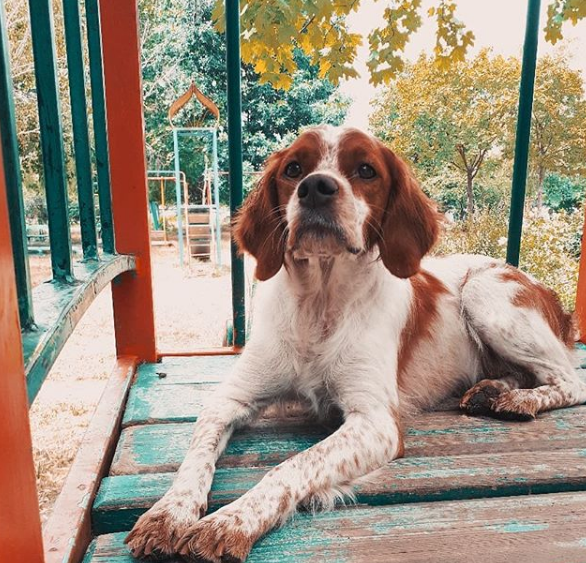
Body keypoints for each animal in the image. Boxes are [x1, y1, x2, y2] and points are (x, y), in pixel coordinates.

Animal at [124, 128, 584, 563]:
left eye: (366, 170)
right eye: (293, 169)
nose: (315, 187)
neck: (320, 304)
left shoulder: (375, 422)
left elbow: (292, 465)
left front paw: (231, 521)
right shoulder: (229, 399)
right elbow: (194, 459)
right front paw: (168, 513)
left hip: (486, 294)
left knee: (569, 381)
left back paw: (520, 399)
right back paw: (491, 390)